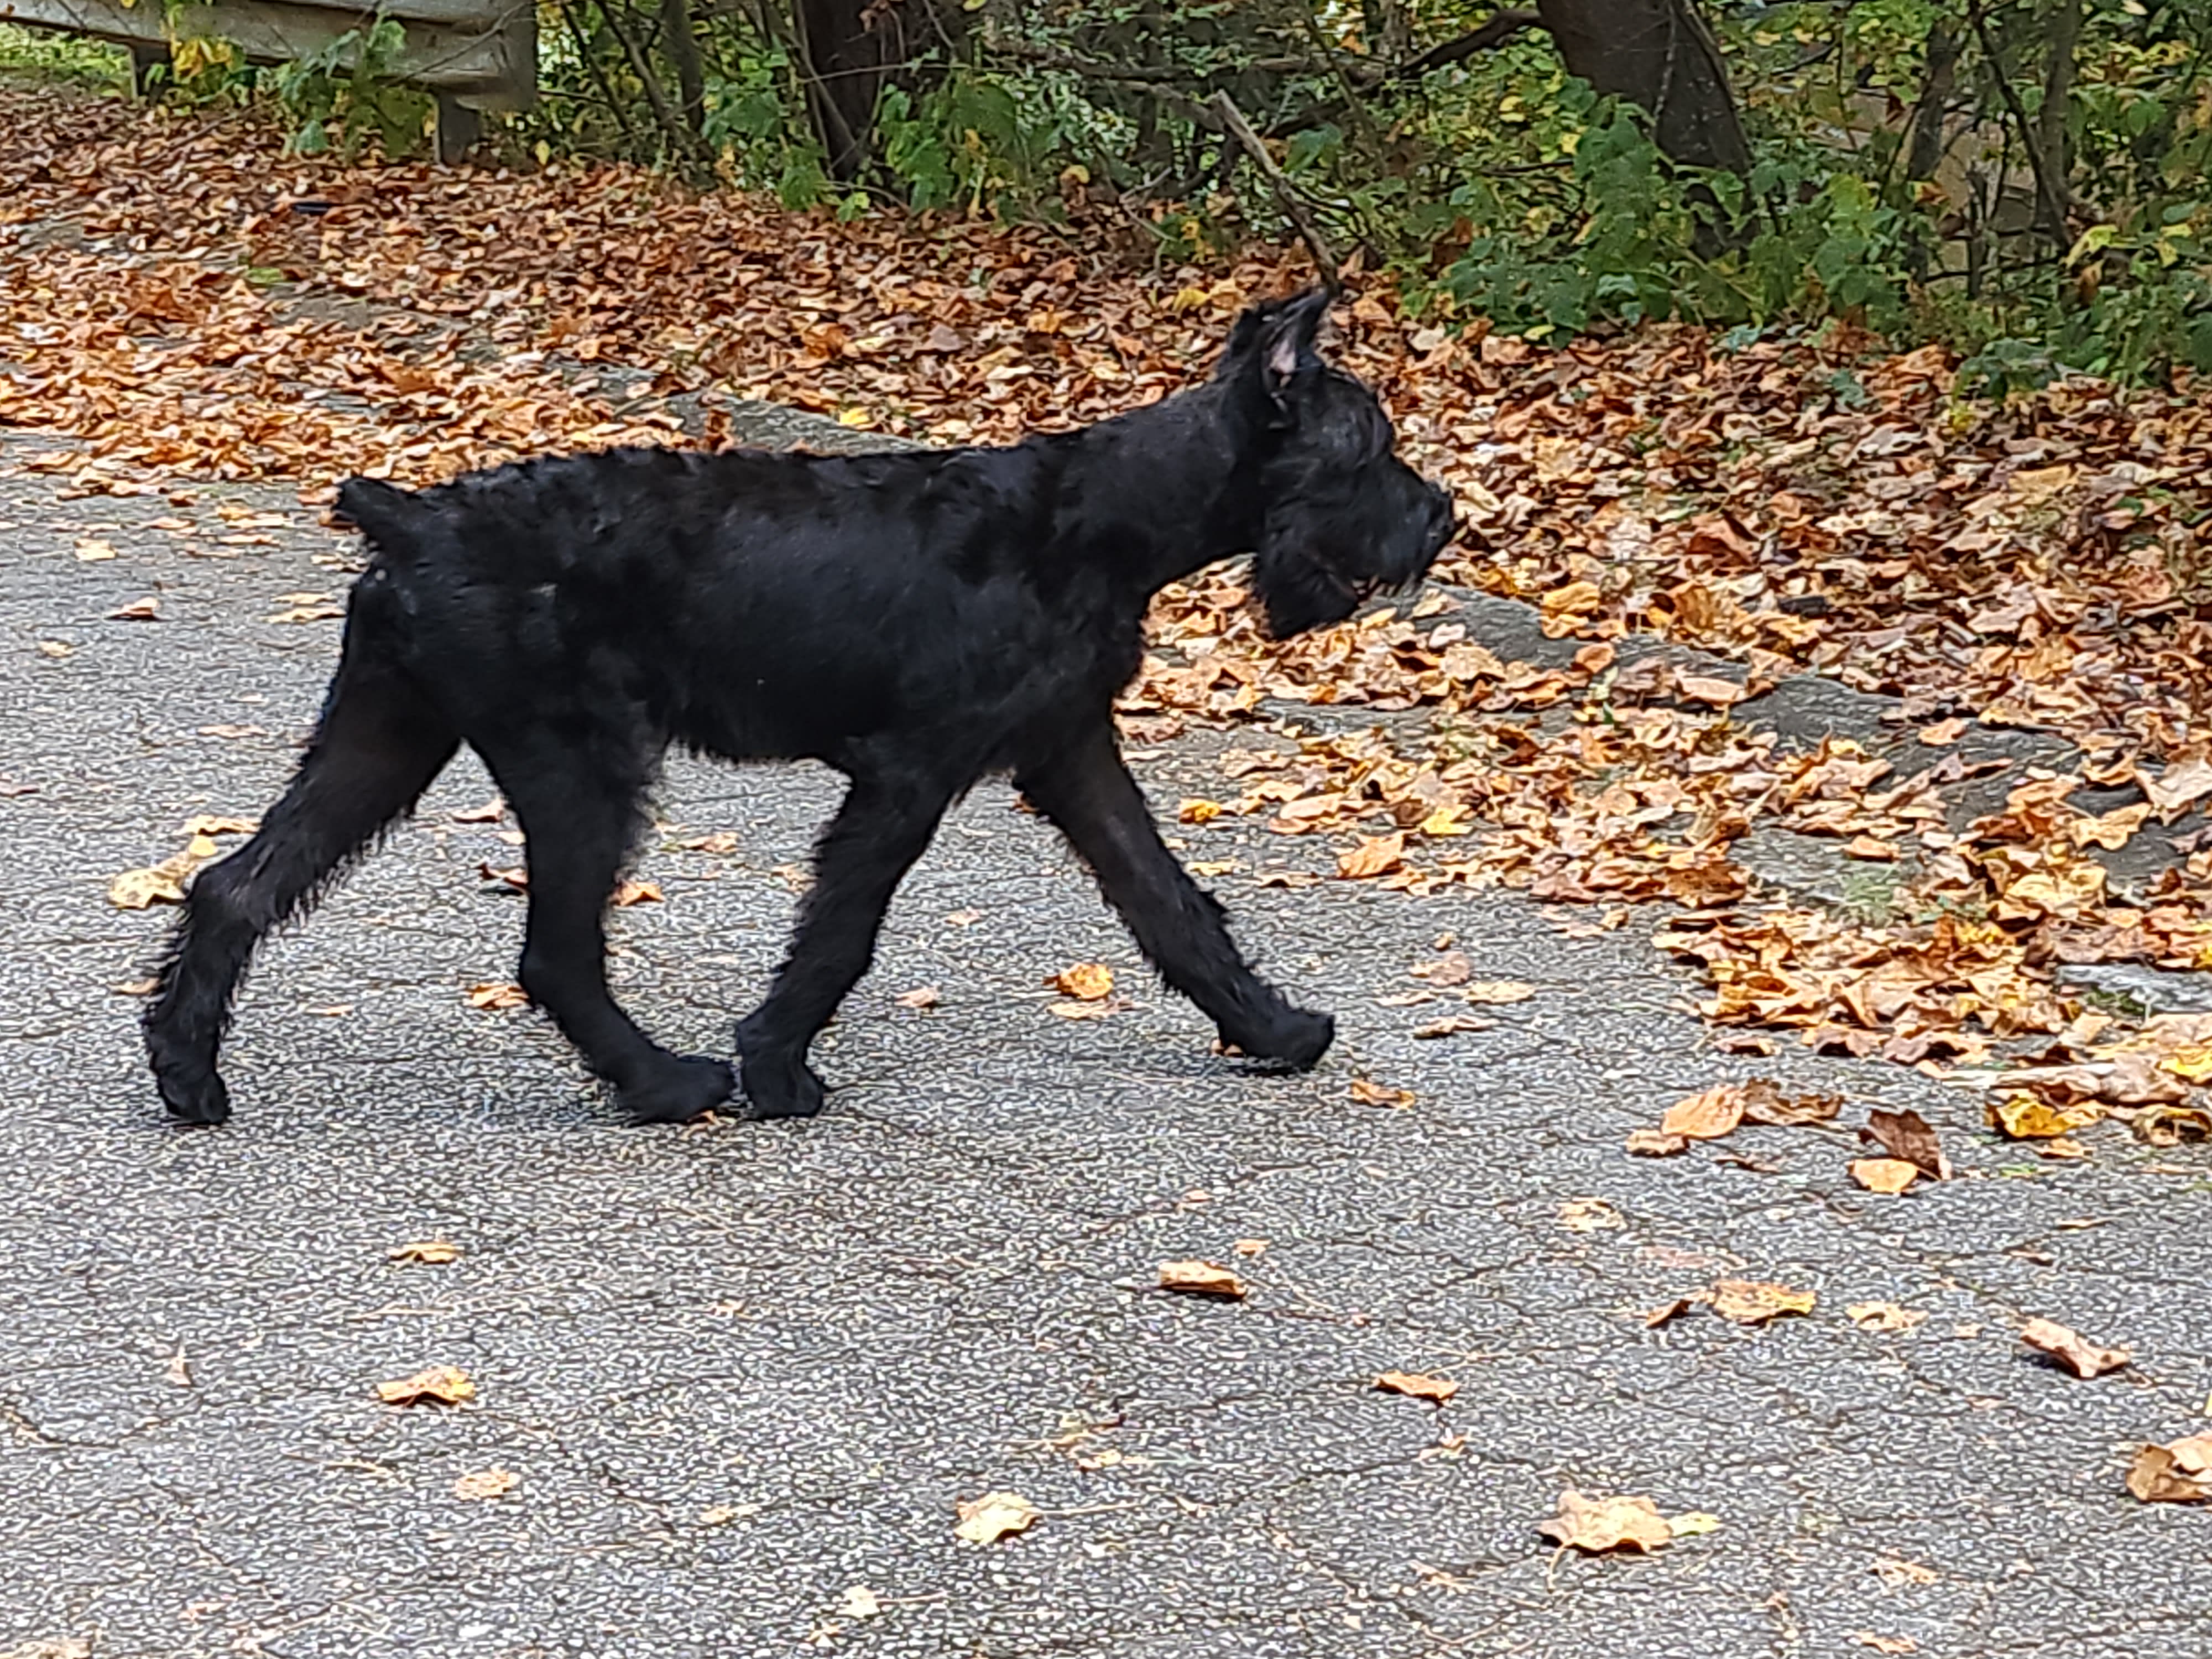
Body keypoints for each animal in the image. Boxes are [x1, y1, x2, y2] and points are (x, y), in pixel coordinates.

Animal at [138, 296, 1451, 1133]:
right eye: (1369, 448)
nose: (1441, 518)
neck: (1102, 519)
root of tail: (410, 519)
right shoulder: (908, 773)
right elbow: (838, 935)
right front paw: (775, 1066)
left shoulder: (1070, 752)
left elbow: (1172, 905)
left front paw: (1272, 1027)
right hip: (579, 766)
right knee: (554, 951)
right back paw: (668, 1085)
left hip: (385, 739)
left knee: (236, 886)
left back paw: (187, 1078)